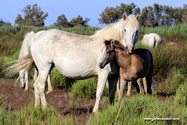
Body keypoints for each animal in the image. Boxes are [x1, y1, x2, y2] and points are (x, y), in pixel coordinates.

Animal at [4, 13, 140, 113]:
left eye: (137, 31)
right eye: (125, 30)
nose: (129, 49)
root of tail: (37, 36)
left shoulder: (113, 76)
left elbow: (111, 94)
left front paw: (111, 109)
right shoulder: (103, 74)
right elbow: (99, 93)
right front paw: (95, 111)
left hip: (42, 69)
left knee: (36, 86)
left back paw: (37, 107)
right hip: (44, 69)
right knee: (40, 86)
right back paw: (46, 108)